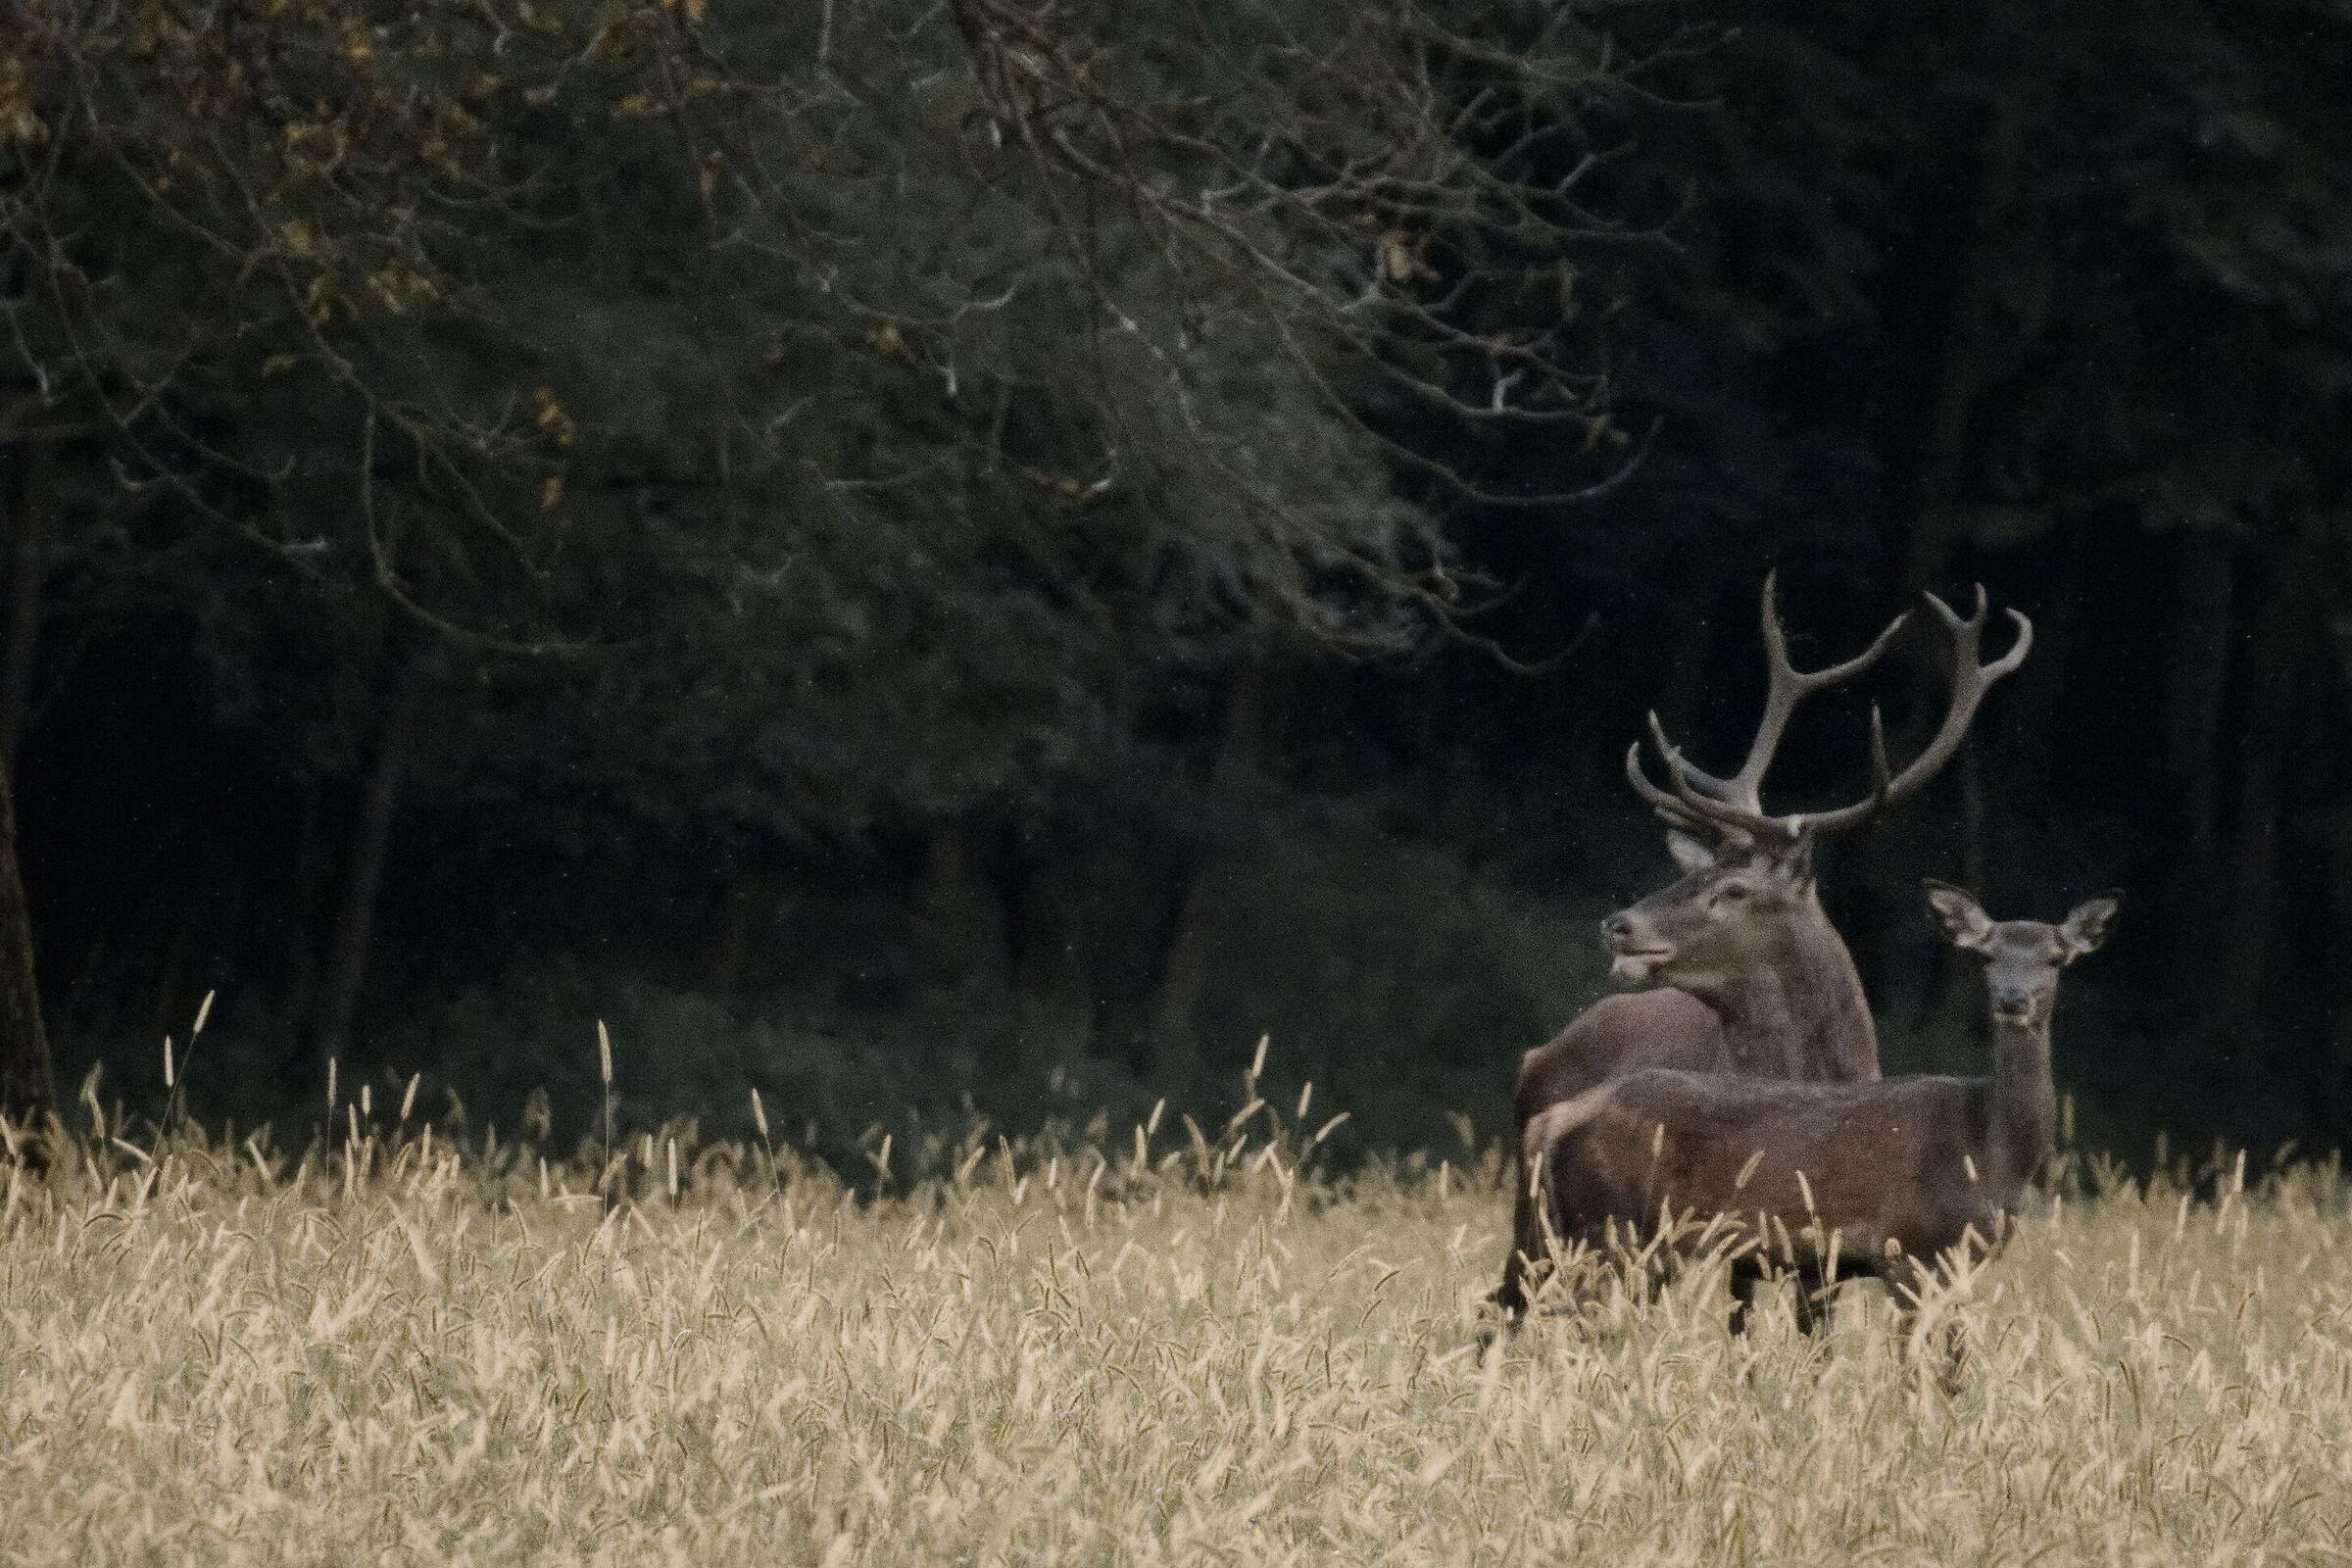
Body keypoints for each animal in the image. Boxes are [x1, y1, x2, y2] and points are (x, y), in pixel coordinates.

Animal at [1522, 883, 2119, 1379]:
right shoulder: (1906, 1248)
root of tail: (1555, 1119)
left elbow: (1950, 1371)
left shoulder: (1958, 1263)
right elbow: (1916, 1369)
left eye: (2055, 957)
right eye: (1987, 955)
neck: (1989, 1149)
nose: (2013, 1000)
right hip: (1609, 1228)